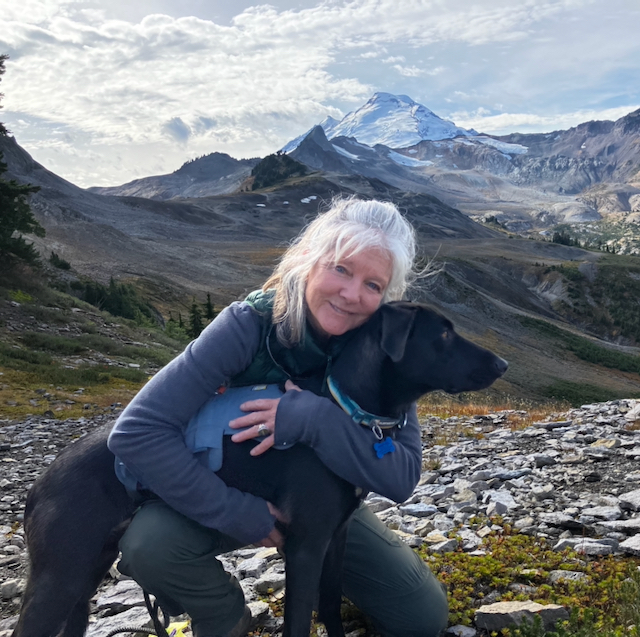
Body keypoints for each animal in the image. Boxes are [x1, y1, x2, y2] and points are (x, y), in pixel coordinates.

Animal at [12, 302, 508, 636]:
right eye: (443, 335)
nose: (503, 363)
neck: (344, 406)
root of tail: (38, 485)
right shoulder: (304, 546)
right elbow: (298, 622)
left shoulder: (336, 537)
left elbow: (330, 608)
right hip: (60, 578)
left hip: (83, 580)